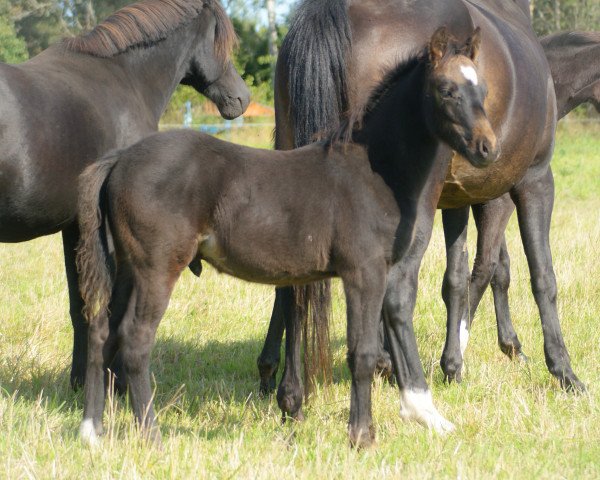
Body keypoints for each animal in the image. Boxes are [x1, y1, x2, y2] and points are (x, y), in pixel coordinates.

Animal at [0, 0, 248, 388]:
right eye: (221, 41)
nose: (242, 97)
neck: (123, 79)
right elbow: (112, 307)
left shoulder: (75, 227)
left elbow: (81, 307)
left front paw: (80, 382)